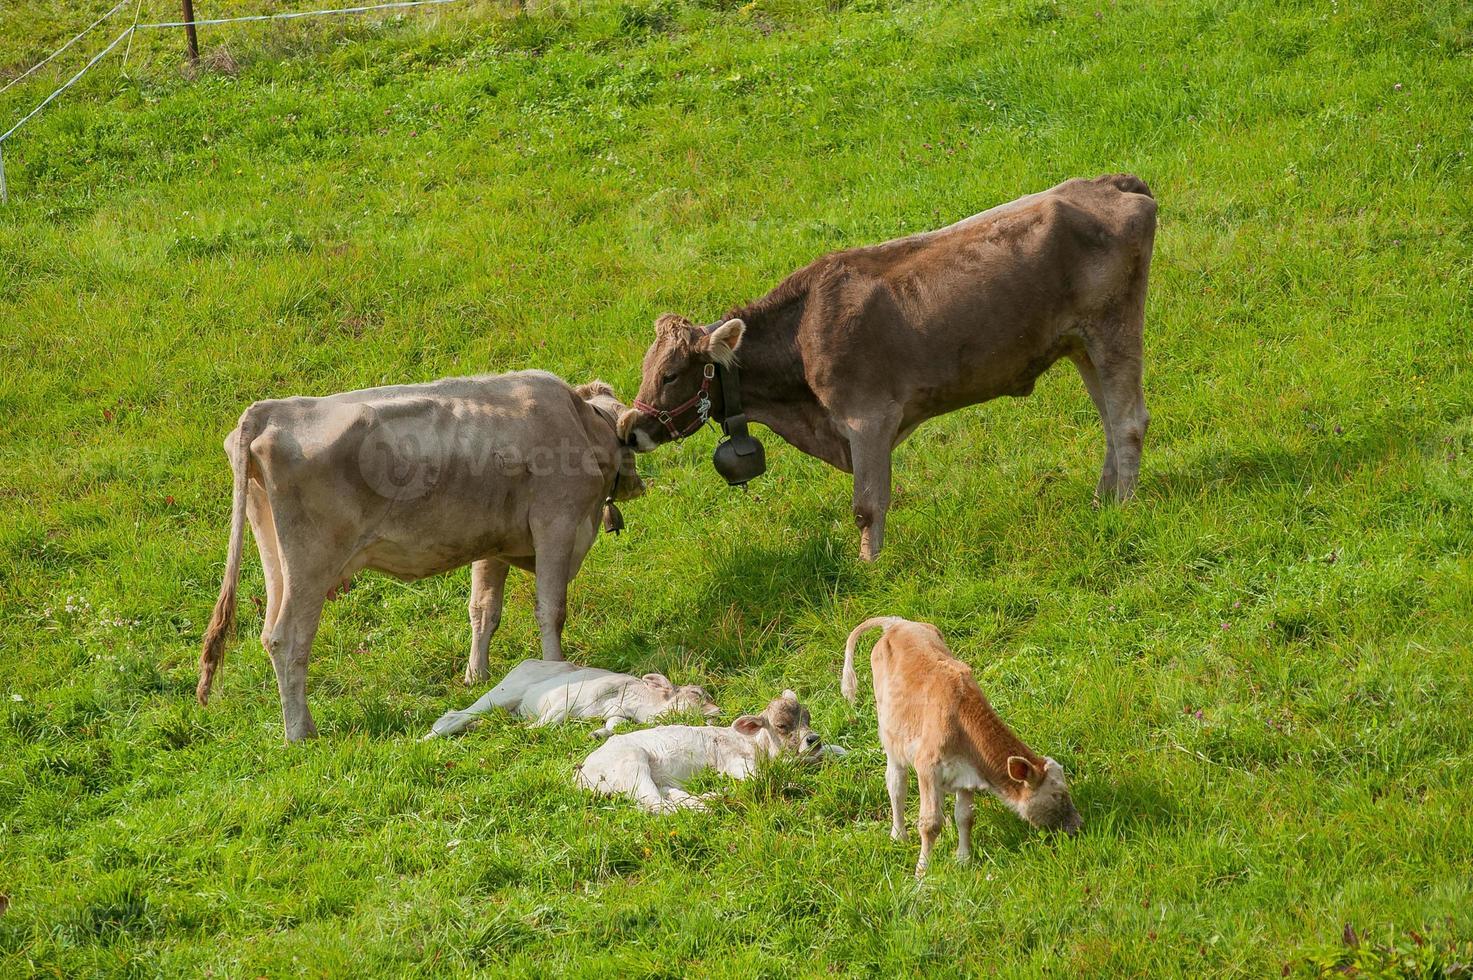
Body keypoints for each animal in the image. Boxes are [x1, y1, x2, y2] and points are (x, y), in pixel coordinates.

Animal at [192, 371, 642, 736]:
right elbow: (550, 610)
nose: (639, 484)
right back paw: (301, 732)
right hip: (311, 565)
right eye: (631, 443)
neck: (581, 425)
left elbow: (484, 608)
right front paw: (554, 669)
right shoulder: (557, 524)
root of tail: (269, 410)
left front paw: (476, 675)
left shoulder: (493, 541)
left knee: (269, 633)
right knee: (288, 638)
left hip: (276, 560)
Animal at [421, 657, 718, 733]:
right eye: (696, 693)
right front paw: (530, 730)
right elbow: (551, 720)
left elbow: (614, 725)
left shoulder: (617, 714)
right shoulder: (568, 697)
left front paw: (597, 733)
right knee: (452, 716)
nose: (718, 711)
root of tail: (527, 661)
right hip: (502, 694)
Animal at [574, 686, 842, 807]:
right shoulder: (733, 762)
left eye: (808, 717)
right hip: (633, 765)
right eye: (782, 725)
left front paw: (838, 750)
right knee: (657, 806)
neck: (755, 745)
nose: (813, 739)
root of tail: (581, 772)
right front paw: (793, 784)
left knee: (670, 796)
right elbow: (761, 776)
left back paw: (712, 795)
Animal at [615, 174, 1154, 557]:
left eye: (669, 374)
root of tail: (1109, 182)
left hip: (1113, 327)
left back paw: (1125, 508)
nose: (630, 429)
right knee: (1110, 422)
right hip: (1081, 343)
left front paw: (869, 569)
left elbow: (867, 506)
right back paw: (1102, 501)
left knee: (1128, 421)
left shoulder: (867, 418)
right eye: (646, 370)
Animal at [842, 616, 1084, 872]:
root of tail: (897, 622)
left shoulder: (967, 775)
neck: (961, 720)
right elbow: (929, 823)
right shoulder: (926, 766)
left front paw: (964, 860)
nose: (1078, 825)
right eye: (1058, 794)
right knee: (896, 783)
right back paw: (899, 835)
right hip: (891, 737)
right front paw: (922, 872)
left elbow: (965, 817)